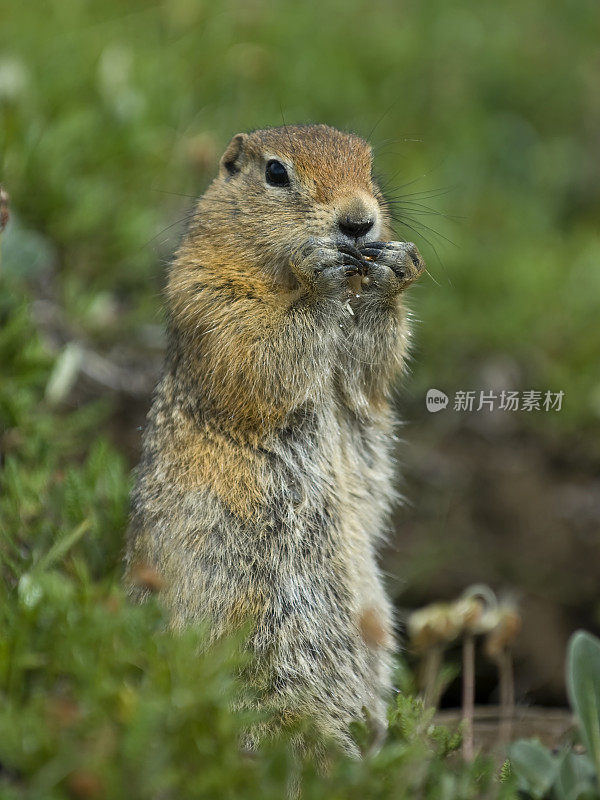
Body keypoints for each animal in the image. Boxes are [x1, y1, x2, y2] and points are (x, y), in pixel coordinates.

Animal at [126, 123, 424, 756]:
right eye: (276, 173)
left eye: (370, 166)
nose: (359, 222)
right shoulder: (206, 288)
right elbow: (257, 349)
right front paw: (317, 274)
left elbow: (369, 369)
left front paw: (396, 270)